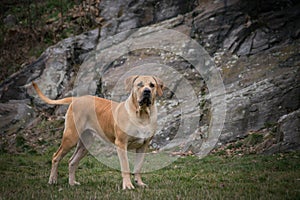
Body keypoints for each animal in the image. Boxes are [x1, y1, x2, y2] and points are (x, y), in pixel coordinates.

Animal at [32, 76, 164, 190]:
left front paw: (139, 183)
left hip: (85, 144)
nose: (147, 91)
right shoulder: (121, 144)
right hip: (70, 138)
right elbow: (125, 166)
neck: (142, 115)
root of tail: (76, 99)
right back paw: (53, 180)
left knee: (72, 162)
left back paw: (72, 183)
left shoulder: (143, 146)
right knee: (56, 157)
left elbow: (138, 167)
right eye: (139, 85)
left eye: (152, 85)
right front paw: (127, 185)